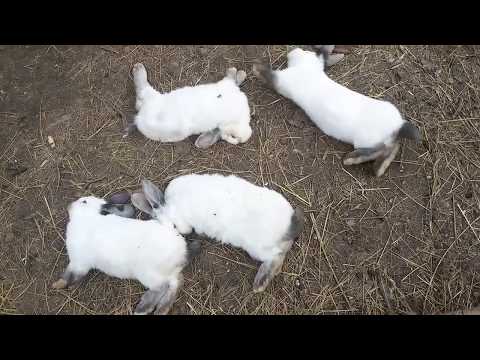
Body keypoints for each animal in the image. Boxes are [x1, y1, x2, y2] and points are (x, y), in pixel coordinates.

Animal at [52, 194, 188, 316]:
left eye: (84, 202)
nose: (69, 205)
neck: (88, 218)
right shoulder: (77, 263)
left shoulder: (79, 263)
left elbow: (69, 275)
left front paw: (57, 285)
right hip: (168, 273)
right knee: (176, 283)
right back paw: (162, 309)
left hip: (148, 274)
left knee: (161, 288)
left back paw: (143, 309)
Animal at [124, 63, 253, 149]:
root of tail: (139, 119)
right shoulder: (227, 86)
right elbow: (232, 79)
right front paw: (237, 72)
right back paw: (139, 68)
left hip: (150, 99)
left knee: (141, 94)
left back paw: (138, 69)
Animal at [131, 176, 304, 294]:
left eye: (173, 226)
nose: (175, 236)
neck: (173, 206)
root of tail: (289, 228)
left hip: (257, 249)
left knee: (276, 257)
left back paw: (259, 284)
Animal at [253, 45, 422, 178]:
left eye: (306, 49)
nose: (293, 49)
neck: (307, 69)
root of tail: (397, 126)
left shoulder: (282, 81)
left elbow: (268, 75)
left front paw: (255, 68)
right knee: (394, 148)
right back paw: (379, 169)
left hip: (366, 141)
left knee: (381, 151)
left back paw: (352, 160)